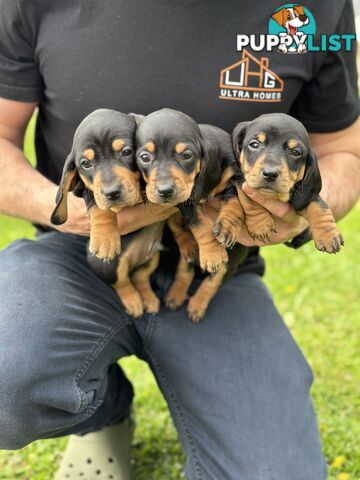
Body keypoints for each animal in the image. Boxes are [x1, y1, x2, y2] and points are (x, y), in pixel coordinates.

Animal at [50, 109, 162, 318]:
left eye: (126, 152)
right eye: (85, 164)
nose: (112, 193)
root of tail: (134, 261)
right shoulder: (86, 190)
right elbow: (99, 206)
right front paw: (105, 238)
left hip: (153, 258)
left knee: (141, 276)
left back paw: (148, 298)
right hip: (108, 266)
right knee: (122, 282)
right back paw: (134, 301)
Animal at [231, 114, 344, 253]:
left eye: (296, 152)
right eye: (254, 144)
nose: (270, 174)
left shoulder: (305, 195)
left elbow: (318, 205)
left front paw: (328, 234)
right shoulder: (240, 179)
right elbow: (248, 198)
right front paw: (261, 224)